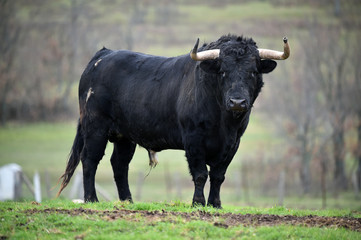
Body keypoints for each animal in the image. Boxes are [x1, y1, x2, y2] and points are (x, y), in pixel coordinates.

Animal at [59, 34, 290, 208]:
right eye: (223, 71)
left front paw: (215, 204)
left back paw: (128, 201)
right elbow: (200, 174)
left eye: (253, 72)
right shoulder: (193, 140)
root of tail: (103, 54)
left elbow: (218, 175)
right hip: (95, 127)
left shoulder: (233, 143)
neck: (224, 123)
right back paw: (92, 199)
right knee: (90, 159)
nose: (237, 102)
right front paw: (198, 203)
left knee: (119, 164)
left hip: (125, 135)